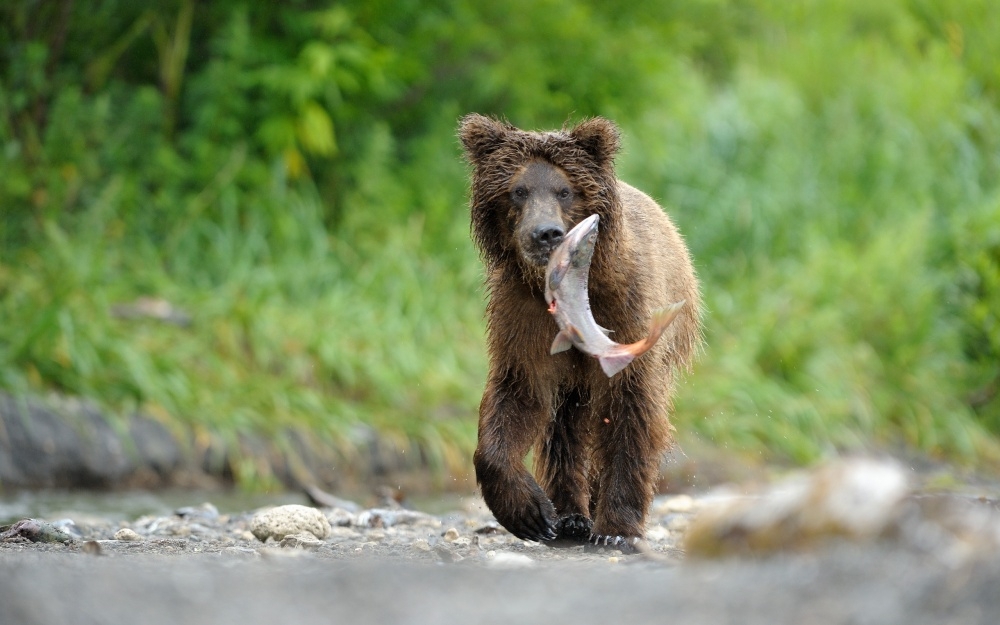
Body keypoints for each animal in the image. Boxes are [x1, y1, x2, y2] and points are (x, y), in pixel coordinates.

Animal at [458, 112, 700, 552]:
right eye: (518, 191)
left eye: (564, 190)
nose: (546, 233)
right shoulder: (523, 316)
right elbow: (519, 393)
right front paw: (531, 514)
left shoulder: (626, 308)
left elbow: (630, 412)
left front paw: (617, 529)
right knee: (563, 425)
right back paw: (569, 516)